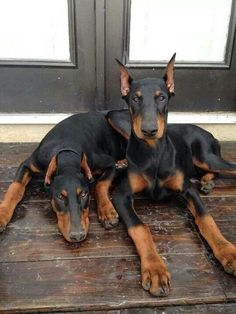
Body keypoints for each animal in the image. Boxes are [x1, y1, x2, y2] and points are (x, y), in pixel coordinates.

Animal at [0, 111, 126, 242]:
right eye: (60, 196)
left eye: (83, 194)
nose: (77, 235)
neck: (66, 157)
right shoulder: (27, 164)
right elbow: (15, 188)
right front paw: (2, 215)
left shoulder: (110, 163)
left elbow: (100, 184)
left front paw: (107, 212)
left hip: (114, 116)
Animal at [108, 54, 236, 296]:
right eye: (135, 99)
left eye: (162, 98)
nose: (149, 130)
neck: (153, 153)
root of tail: (209, 132)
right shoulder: (121, 195)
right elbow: (140, 227)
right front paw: (155, 268)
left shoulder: (187, 190)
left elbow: (206, 218)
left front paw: (227, 252)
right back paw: (206, 182)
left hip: (206, 156)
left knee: (225, 167)